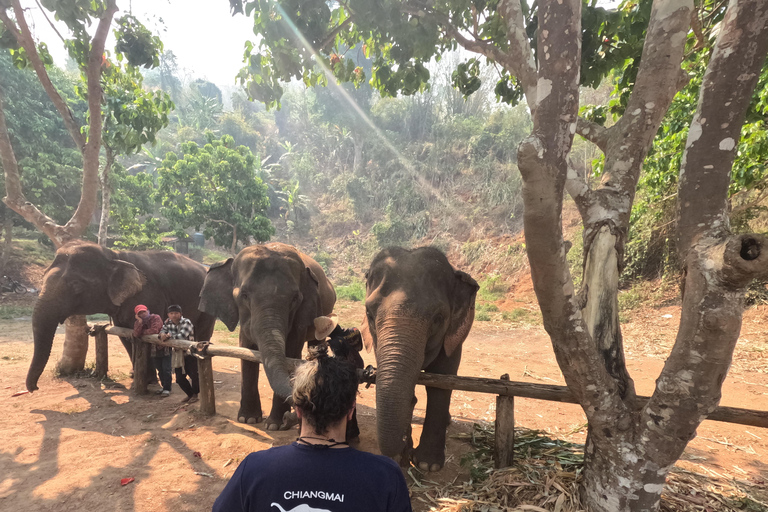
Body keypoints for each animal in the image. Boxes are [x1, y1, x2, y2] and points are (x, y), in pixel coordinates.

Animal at [27, 240, 218, 392]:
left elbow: (148, 334)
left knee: (202, 331)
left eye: (76, 285)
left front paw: (148, 381)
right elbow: (126, 335)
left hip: (206, 303)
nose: (35, 388)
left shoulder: (149, 295)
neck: (113, 256)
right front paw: (136, 376)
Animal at [200, 242, 334, 430]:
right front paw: (248, 419)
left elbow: (290, 352)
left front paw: (274, 425)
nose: (289, 418)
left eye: (295, 299)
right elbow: (246, 350)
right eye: (244, 295)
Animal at [362, 247, 480, 472]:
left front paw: (427, 464)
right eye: (369, 314)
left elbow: (441, 382)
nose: (405, 448)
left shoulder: (451, 337)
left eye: (438, 318)